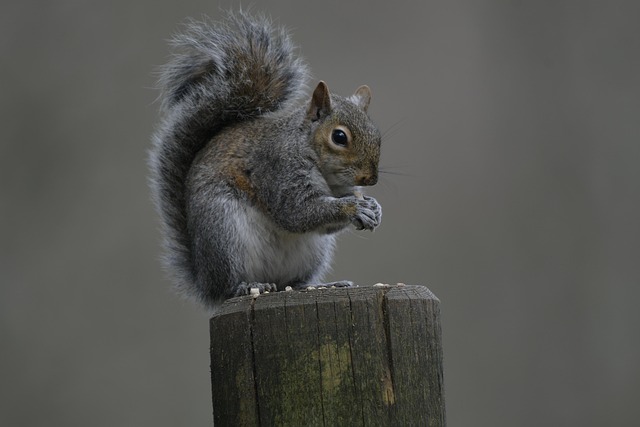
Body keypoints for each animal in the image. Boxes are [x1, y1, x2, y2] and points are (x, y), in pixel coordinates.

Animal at [149, 11, 382, 310]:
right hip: (225, 232)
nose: (370, 179)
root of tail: (205, 281)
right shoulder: (277, 168)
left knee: (291, 283)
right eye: (339, 137)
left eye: (377, 135)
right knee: (230, 286)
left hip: (310, 254)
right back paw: (248, 286)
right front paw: (354, 208)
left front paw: (373, 208)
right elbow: (297, 212)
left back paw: (320, 284)